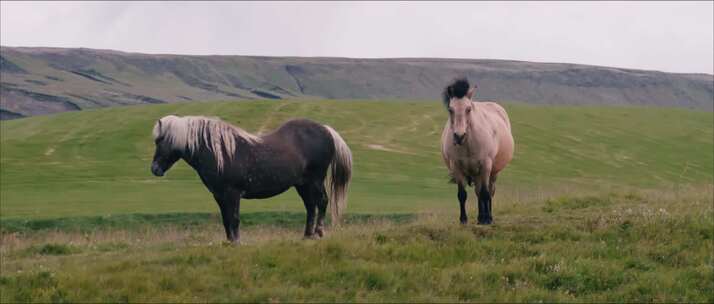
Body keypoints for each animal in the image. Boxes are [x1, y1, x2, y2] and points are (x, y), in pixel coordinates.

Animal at [150, 115, 350, 243]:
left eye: (161, 140)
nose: (155, 169)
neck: (220, 152)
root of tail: (326, 129)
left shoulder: (233, 193)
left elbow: (235, 218)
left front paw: (237, 242)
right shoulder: (219, 195)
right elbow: (226, 219)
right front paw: (229, 242)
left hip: (315, 180)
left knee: (322, 202)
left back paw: (319, 232)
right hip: (302, 184)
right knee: (310, 206)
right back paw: (307, 235)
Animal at [440, 78, 512, 226]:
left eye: (468, 109)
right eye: (450, 109)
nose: (459, 136)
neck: (468, 143)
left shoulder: (485, 166)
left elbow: (485, 193)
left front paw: (487, 219)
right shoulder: (457, 167)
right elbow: (462, 195)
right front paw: (463, 219)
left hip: (492, 172)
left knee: (489, 191)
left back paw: (487, 216)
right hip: (475, 173)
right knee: (478, 192)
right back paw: (480, 217)